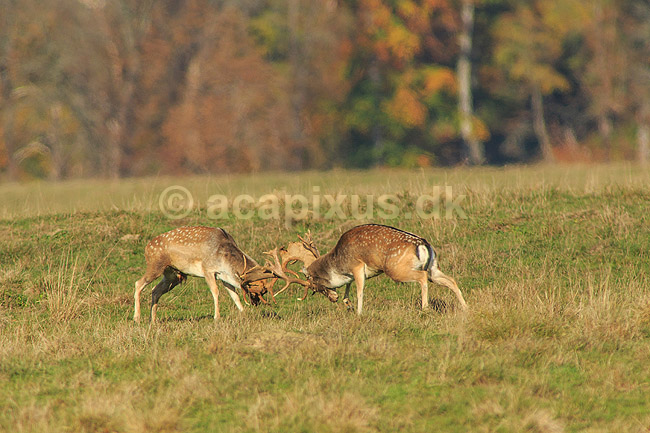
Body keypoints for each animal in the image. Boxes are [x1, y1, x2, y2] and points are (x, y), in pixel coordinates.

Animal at [133, 226, 274, 323]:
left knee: (155, 290)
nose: (256, 303)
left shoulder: (224, 276)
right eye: (257, 290)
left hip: (172, 275)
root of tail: (147, 247)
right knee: (138, 283)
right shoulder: (207, 269)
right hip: (155, 266)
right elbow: (215, 291)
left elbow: (234, 295)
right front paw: (217, 317)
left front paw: (244, 313)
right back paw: (137, 318)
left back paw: (152, 320)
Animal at [247, 224, 468, 315]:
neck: (339, 263)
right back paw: (465, 307)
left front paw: (359, 312)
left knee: (421, 277)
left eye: (314, 286)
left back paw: (425, 308)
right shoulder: (354, 273)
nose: (332, 298)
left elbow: (360, 290)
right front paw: (348, 305)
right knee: (451, 280)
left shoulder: (357, 265)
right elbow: (349, 289)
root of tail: (423, 244)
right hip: (434, 268)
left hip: (397, 269)